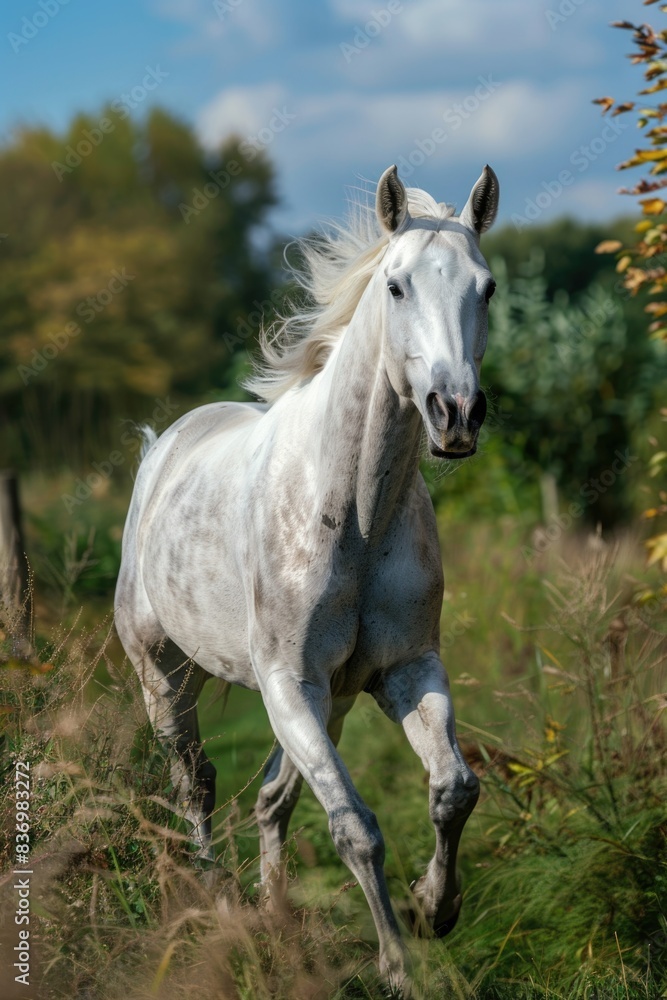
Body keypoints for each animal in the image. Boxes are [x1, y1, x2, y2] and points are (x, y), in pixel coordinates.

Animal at [114, 162, 499, 995]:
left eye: (485, 288)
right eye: (395, 285)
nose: (454, 413)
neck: (352, 515)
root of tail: (163, 448)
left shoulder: (403, 671)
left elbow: (454, 789)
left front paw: (434, 907)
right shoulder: (290, 683)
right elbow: (354, 828)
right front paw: (397, 967)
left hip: (334, 700)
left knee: (268, 798)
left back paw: (276, 921)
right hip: (167, 676)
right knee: (196, 784)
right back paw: (223, 908)